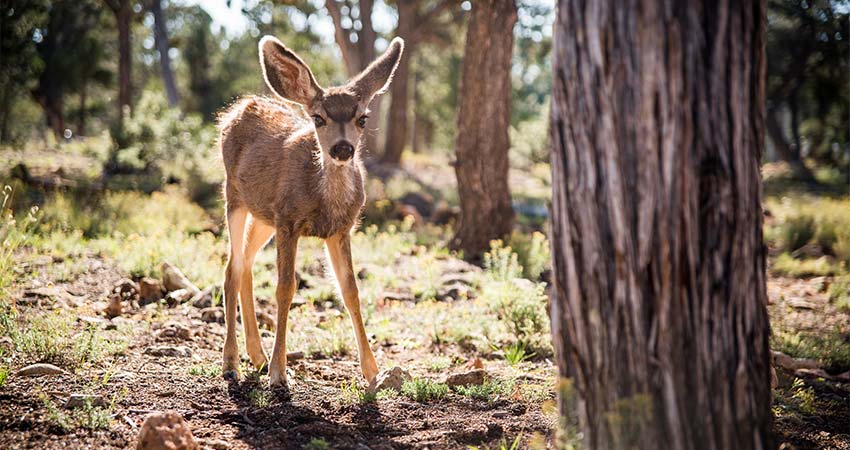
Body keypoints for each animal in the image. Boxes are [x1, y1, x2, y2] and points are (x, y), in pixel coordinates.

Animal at [219, 36, 404, 386]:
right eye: (318, 118)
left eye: (362, 118)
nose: (342, 148)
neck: (325, 202)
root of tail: (237, 108)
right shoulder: (289, 221)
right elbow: (285, 288)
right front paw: (279, 373)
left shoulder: (341, 229)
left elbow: (350, 290)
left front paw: (373, 372)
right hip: (234, 197)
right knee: (232, 268)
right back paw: (232, 362)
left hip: (263, 214)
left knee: (245, 263)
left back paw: (256, 356)